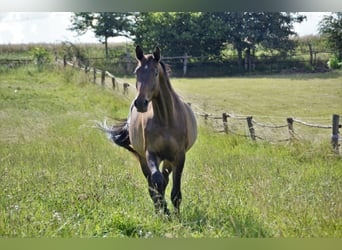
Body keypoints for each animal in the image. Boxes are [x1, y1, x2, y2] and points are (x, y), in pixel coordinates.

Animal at [97, 46, 196, 214]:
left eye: (155, 72)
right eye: (136, 72)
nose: (140, 103)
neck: (166, 119)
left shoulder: (179, 156)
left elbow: (175, 192)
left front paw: (175, 215)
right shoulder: (151, 153)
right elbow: (156, 181)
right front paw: (164, 210)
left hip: (168, 159)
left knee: (165, 179)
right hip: (143, 158)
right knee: (153, 182)